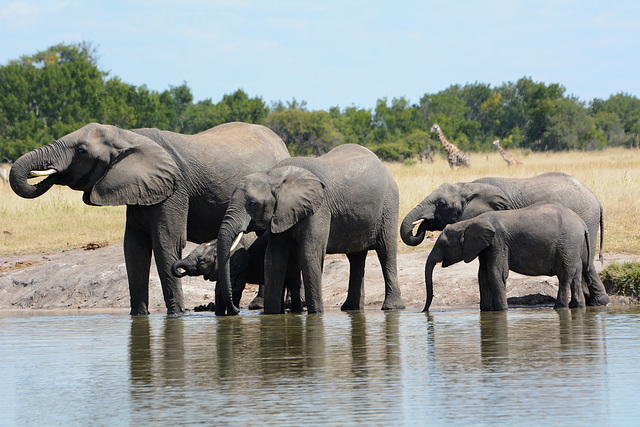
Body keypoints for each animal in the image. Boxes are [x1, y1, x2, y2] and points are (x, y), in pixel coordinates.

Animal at [9, 122, 290, 316]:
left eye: (81, 150)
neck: (127, 135)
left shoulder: (174, 190)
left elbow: (166, 242)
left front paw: (177, 315)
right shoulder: (140, 189)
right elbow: (133, 248)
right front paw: (138, 316)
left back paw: (258, 306)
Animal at [171, 232, 304, 312]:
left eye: (201, 260)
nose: (181, 271)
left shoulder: (239, 264)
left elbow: (235, 289)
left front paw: (232, 314)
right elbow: (219, 290)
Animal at [214, 145, 404, 316]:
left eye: (253, 204)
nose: (237, 310)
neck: (274, 175)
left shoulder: (318, 209)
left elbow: (310, 253)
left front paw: (316, 314)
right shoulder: (282, 213)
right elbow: (273, 259)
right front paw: (272, 315)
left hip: (388, 207)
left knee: (386, 251)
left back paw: (392, 308)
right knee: (356, 257)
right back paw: (350, 308)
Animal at [424, 202, 596, 312]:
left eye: (443, 245)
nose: (424, 311)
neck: (469, 222)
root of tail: (583, 224)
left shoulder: (498, 241)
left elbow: (495, 273)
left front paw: (501, 311)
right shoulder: (485, 247)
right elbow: (482, 275)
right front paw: (486, 310)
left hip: (568, 243)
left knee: (565, 275)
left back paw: (560, 308)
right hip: (573, 245)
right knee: (576, 274)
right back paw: (578, 306)